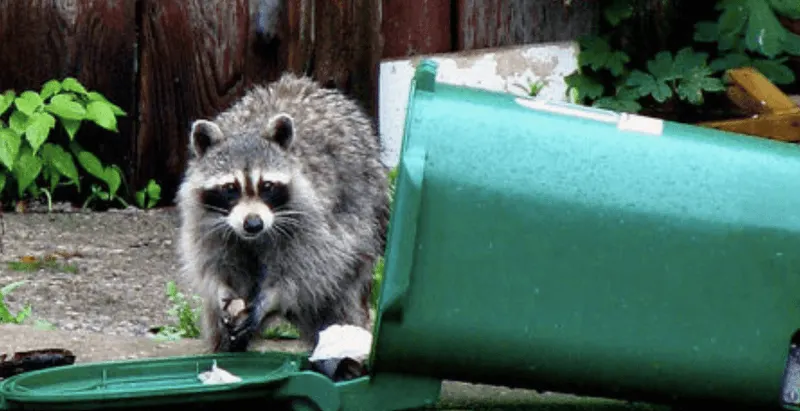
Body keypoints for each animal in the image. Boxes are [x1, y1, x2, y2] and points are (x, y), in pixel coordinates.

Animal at [175, 72, 390, 352]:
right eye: (230, 188)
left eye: (267, 186)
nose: (253, 224)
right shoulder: (204, 219)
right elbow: (212, 263)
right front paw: (223, 288)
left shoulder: (314, 219)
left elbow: (306, 270)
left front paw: (270, 298)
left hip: (366, 216)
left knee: (339, 296)